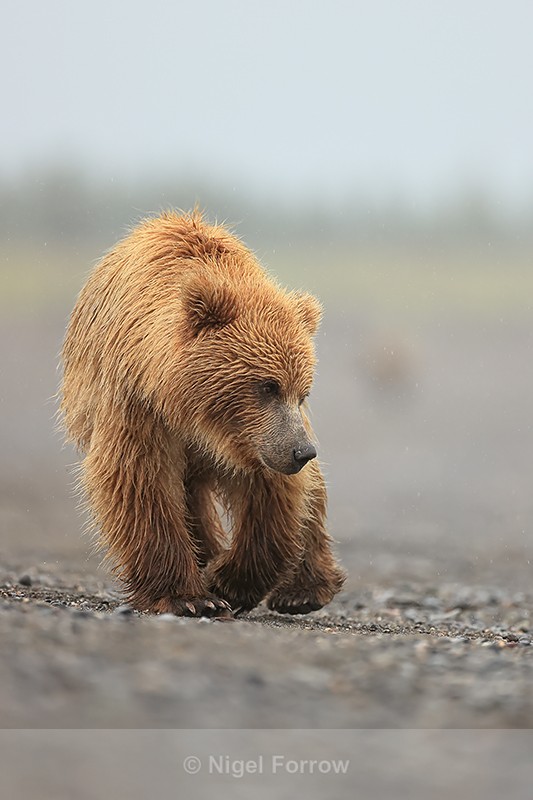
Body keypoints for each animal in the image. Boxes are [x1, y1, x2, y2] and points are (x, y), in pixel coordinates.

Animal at [60, 210, 345, 618]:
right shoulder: (139, 404)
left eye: (301, 392)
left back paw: (303, 591)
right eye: (268, 385)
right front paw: (191, 596)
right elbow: (140, 482)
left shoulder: (257, 438)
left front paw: (227, 581)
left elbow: (273, 497)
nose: (302, 451)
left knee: (311, 495)